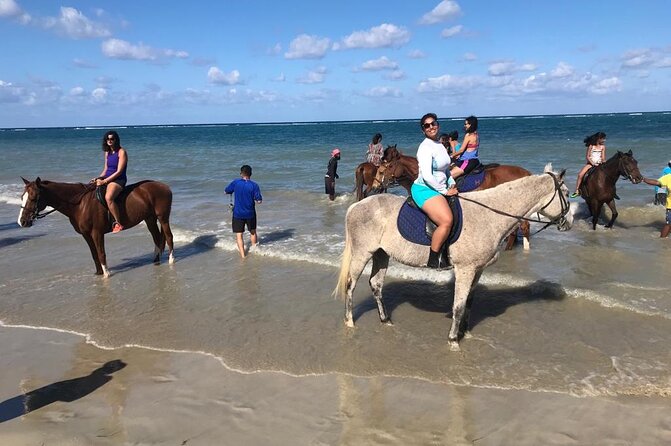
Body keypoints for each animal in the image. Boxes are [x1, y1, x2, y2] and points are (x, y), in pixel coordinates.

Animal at [18, 177, 176, 276]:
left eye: (33, 198)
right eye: (22, 197)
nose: (22, 221)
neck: (80, 204)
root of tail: (164, 186)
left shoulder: (97, 233)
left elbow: (101, 253)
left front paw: (106, 274)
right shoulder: (86, 235)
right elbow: (94, 254)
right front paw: (99, 273)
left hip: (162, 217)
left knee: (168, 236)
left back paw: (171, 259)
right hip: (149, 219)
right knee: (157, 238)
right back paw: (156, 260)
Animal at [334, 165, 572, 352]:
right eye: (567, 193)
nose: (568, 223)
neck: (489, 215)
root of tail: (356, 205)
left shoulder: (477, 269)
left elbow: (469, 302)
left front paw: (465, 333)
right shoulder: (465, 269)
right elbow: (458, 305)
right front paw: (453, 340)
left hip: (381, 254)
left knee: (376, 284)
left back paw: (385, 320)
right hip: (363, 253)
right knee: (351, 284)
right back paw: (349, 322)